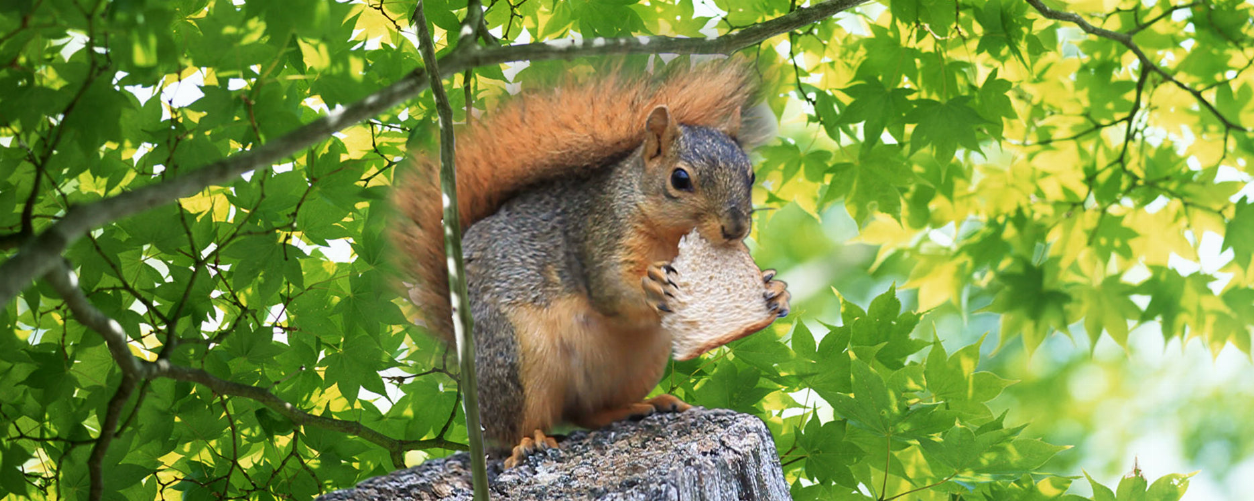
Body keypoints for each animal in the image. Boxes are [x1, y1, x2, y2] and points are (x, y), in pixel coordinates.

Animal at [390, 59, 791, 468]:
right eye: (680, 179)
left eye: (751, 175)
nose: (736, 228)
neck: (670, 236)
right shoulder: (601, 236)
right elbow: (611, 291)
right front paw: (652, 287)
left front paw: (775, 291)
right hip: (515, 357)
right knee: (514, 430)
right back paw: (528, 442)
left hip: (640, 362)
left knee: (588, 411)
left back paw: (642, 406)